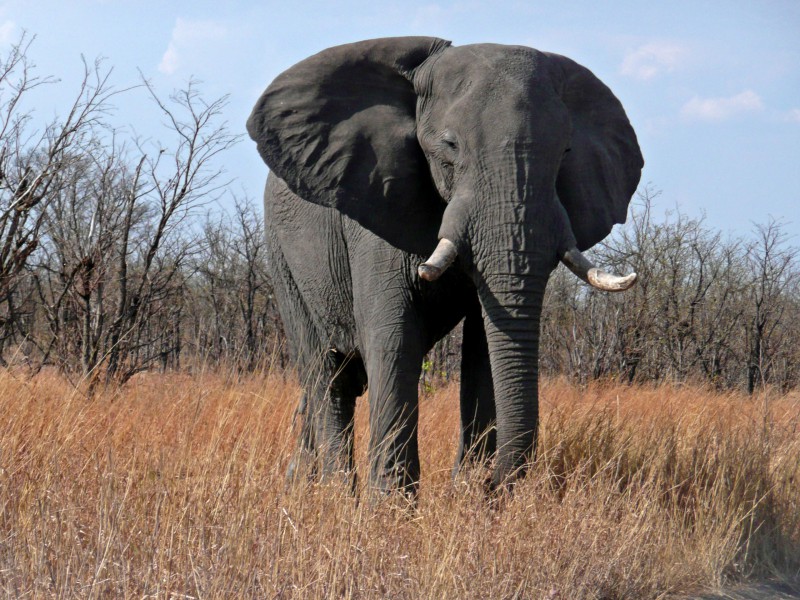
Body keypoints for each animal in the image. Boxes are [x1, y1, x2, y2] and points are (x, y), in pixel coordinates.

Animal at [247, 38, 640, 496]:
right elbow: (393, 336)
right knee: (326, 372)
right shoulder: (376, 205)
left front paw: (471, 495)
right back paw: (332, 493)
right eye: (450, 147)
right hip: (282, 257)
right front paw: (391, 506)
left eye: (565, 152)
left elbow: (484, 346)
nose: (494, 484)